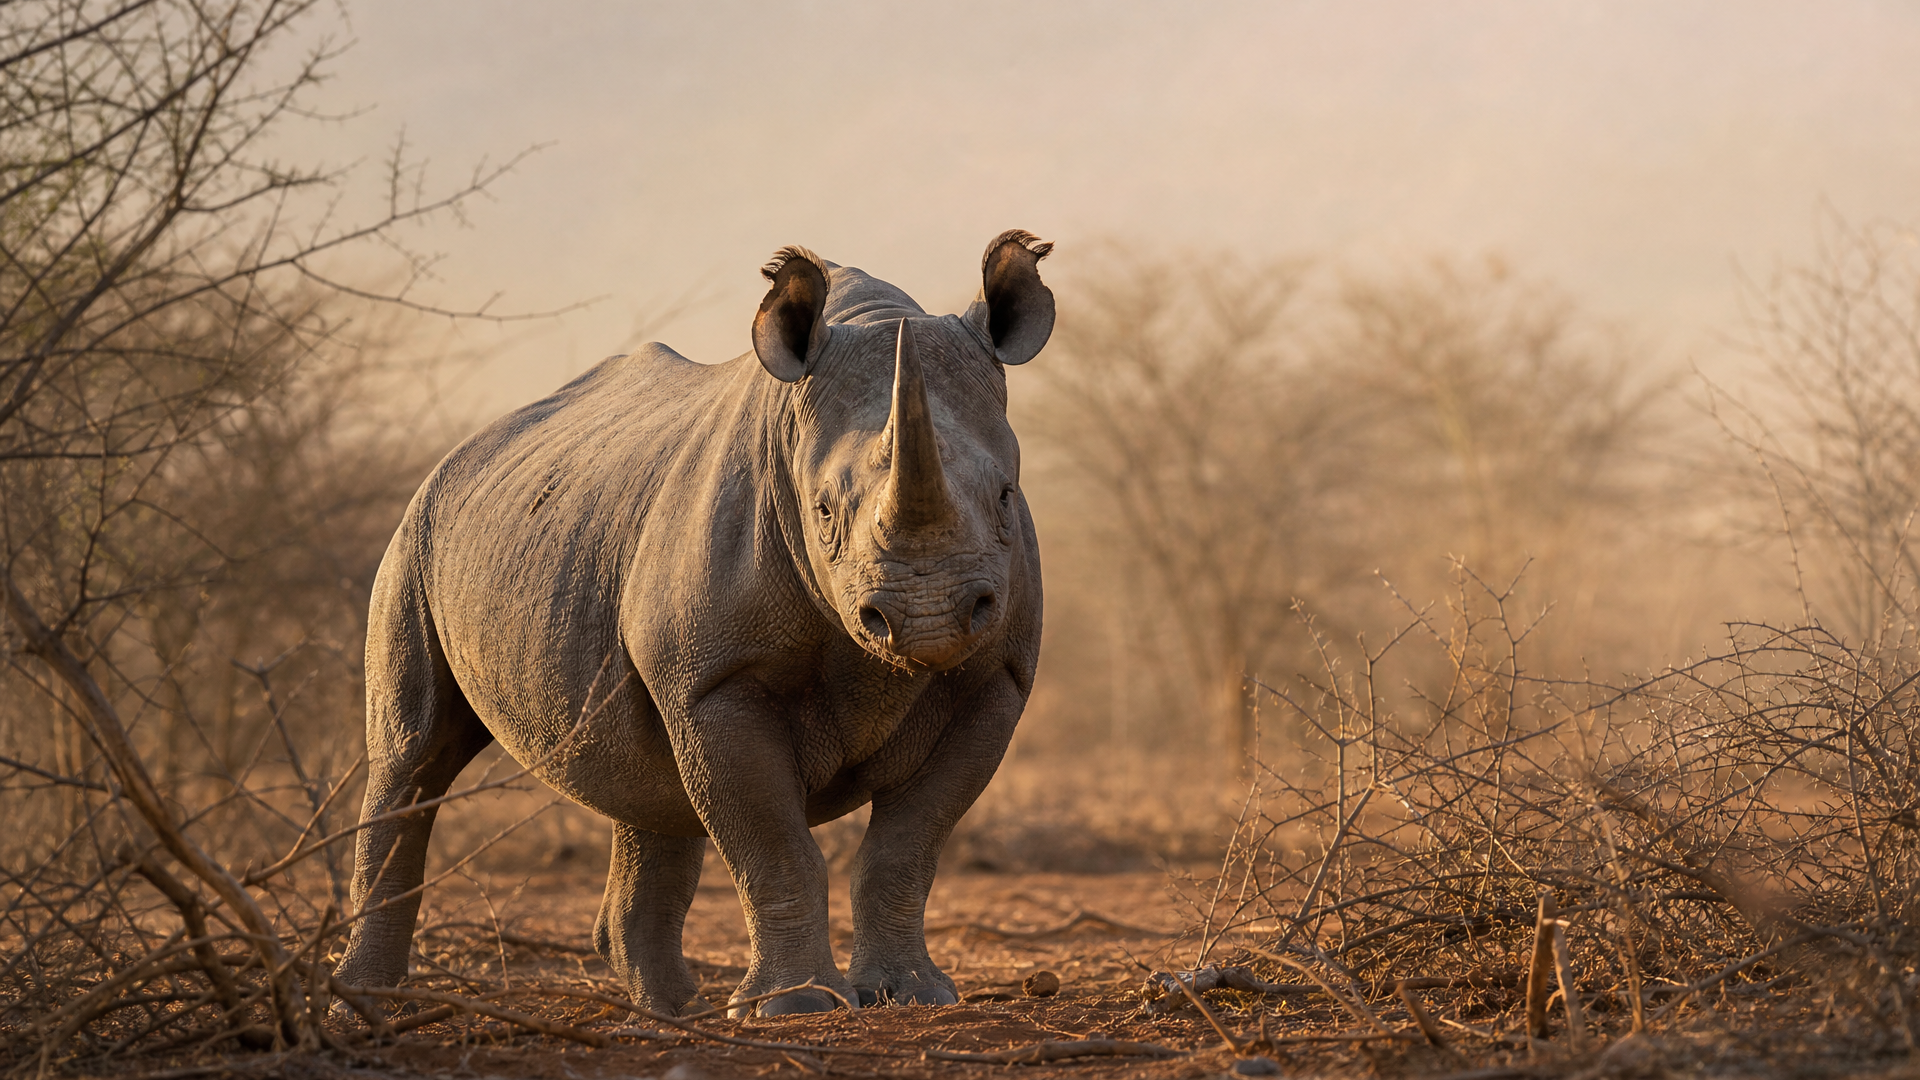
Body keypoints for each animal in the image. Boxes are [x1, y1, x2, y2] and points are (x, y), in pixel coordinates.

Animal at [334, 231, 1054, 1017]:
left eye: (1007, 496)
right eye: (823, 510)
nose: (928, 617)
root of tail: (461, 449)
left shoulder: (994, 678)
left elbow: (908, 845)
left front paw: (913, 996)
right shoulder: (714, 679)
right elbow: (774, 845)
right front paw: (795, 1007)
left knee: (648, 783)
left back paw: (673, 1013)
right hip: (416, 533)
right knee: (414, 756)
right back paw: (364, 1004)